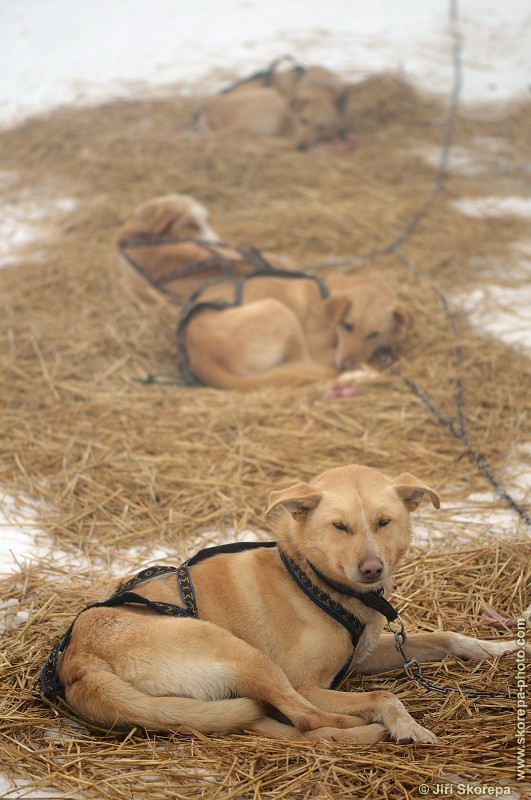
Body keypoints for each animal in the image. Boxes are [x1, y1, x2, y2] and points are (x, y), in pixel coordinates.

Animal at [43, 462, 524, 744]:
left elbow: (448, 636)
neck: (312, 580)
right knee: (307, 718)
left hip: (212, 701)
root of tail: (80, 663)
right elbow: (384, 696)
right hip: (246, 655)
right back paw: (365, 730)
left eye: (384, 522)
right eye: (340, 526)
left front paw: (500, 647)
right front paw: (406, 724)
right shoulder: (311, 683)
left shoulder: (365, 654)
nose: (372, 569)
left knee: (276, 723)